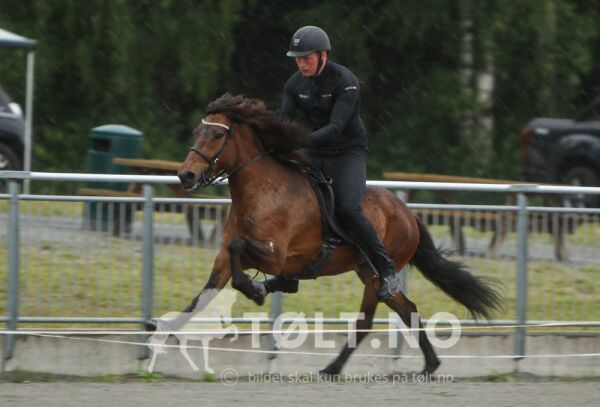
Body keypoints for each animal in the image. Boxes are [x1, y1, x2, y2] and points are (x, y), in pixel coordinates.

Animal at [175, 94, 502, 378]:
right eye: (197, 131)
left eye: (217, 136)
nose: (185, 175)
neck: (261, 190)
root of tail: (409, 213)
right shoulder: (226, 258)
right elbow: (202, 295)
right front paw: (169, 330)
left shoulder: (274, 254)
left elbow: (238, 248)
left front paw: (253, 289)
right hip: (363, 269)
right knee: (408, 309)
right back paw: (429, 365)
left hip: (377, 273)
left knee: (367, 320)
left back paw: (333, 367)